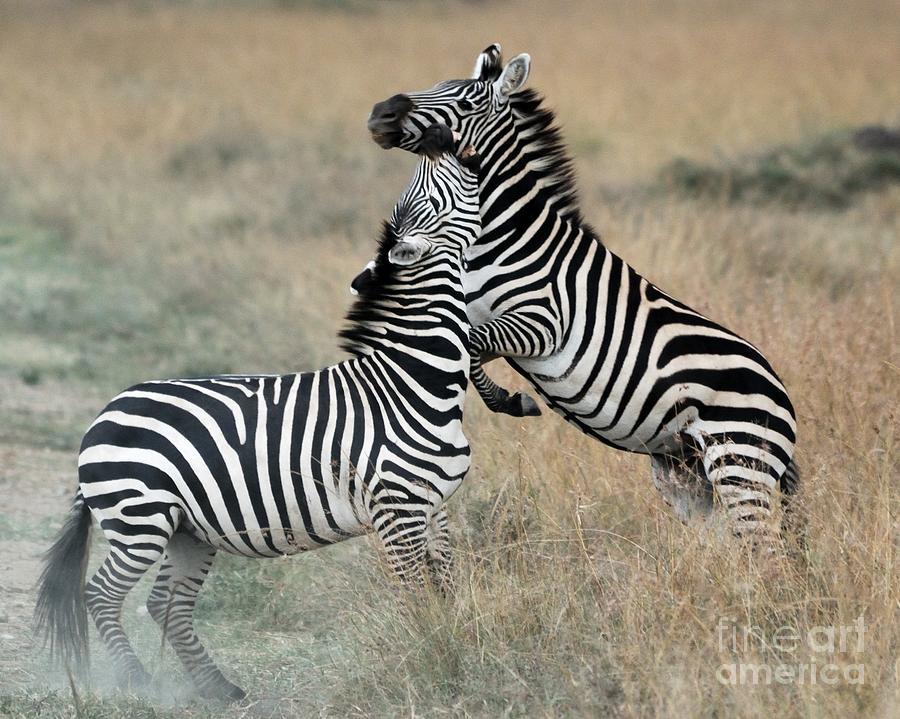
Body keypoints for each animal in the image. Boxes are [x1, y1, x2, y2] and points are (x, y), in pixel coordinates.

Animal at [34, 123, 482, 700]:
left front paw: (452, 644)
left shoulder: (434, 506)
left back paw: (217, 688)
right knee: (104, 595)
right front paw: (430, 654)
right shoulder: (396, 508)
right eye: (431, 190)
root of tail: (105, 413)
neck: (413, 381)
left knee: (165, 603)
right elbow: (415, 591)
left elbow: (443, 585)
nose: (441, 137)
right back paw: (139, 683)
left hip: (187, 530)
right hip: (140, 517)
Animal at [363, 44, 799, 546]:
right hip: (689, 475)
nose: (380, 113)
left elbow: (471, 348)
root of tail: (782, 394)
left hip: (739, 463)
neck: (502, 237)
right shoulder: (472, 318)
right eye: (435, 83)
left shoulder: (543, 322)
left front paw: (510, 401)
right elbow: (460, 348)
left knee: (764, 551)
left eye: (468, 102)